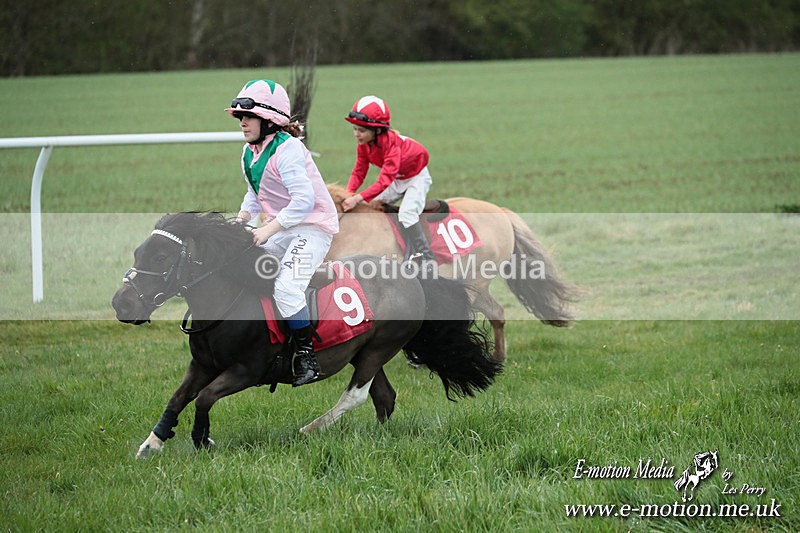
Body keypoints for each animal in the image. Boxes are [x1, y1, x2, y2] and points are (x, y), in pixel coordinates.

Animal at [111, 212, 501, 458]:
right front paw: (152, 443)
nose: (122, 303)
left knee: (356, 396)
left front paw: (202, 440)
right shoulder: (203, 365)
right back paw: (378, 438)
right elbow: (178, 398)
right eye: (139, 252)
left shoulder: (246, 371)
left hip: (380, 347)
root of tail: (412, 277)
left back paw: (310, 430)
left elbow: (205, 398)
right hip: (363, 351)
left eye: (161, 257)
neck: (230, 300)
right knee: (384, 397)